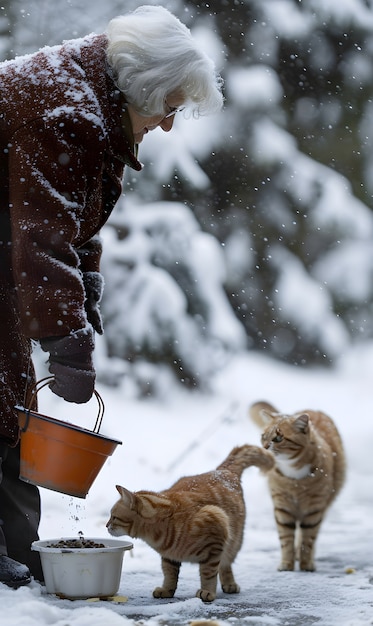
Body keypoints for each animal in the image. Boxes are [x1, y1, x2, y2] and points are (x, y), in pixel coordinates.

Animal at [105, 442, 274, 604]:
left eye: (113, 517)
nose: (106, 526)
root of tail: (222, 470)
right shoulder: (169, 556)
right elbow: (169, 574)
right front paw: (167, 590)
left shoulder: (214, 540)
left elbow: (208, 573)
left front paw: (207, 592)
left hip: (234, 542)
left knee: (226, 564)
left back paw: (230, 584)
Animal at [248, 400, 344, 572]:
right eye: (263, 436)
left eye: (278, 438)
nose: (264, 447)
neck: (294, 477)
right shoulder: (282, 507)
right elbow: (286, 538)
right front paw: (287, 564)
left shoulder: (314, 509)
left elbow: (308, 539)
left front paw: (306, 564)